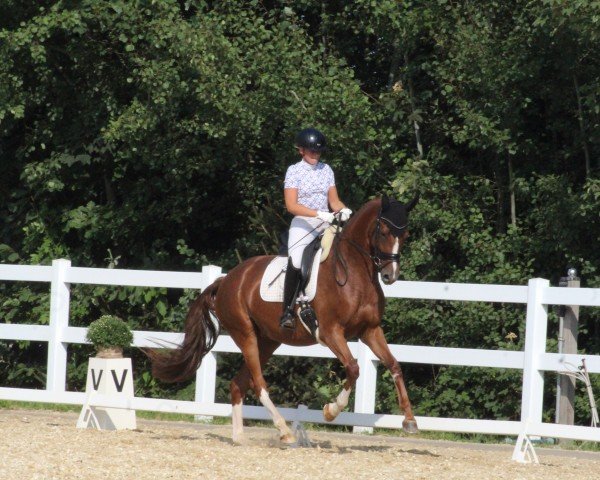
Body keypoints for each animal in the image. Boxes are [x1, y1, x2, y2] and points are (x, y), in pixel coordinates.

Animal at [146, 194, 418, 442]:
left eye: (405, 235)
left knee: (238, 383)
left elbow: (394, 365)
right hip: (246, 335)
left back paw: (239, 437)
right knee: (258, 383)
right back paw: (284, 430)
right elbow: (353, 367)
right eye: (384, 231)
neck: (354, 272)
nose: (390, 275)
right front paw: (331, 411)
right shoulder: (330, 332)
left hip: (268, 341)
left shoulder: (370, 330)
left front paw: (410, 420)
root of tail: (227, 279)